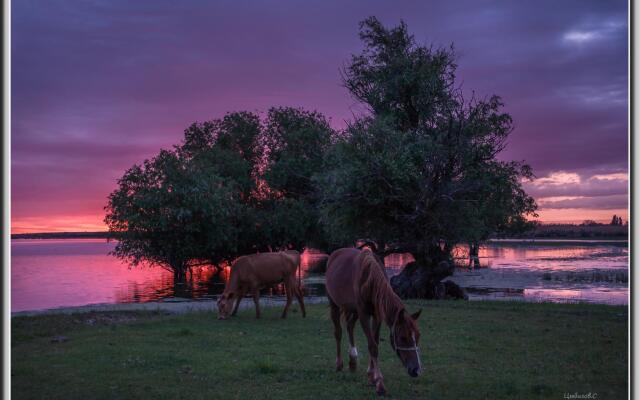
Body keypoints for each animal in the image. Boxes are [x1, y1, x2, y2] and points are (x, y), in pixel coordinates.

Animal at [328, 248, 422, 396]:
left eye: (417, 336)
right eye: (403, 338)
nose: (416, 370)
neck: (370, 279)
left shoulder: (377, 314)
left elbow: (375, 342)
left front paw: (371, 374)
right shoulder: (364, 314)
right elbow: (372, 346)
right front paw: (379, 383)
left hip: (354, 310)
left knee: (350, 326)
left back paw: (353, 361)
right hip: (334, 305)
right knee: (338, 332)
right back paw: (339, 364)